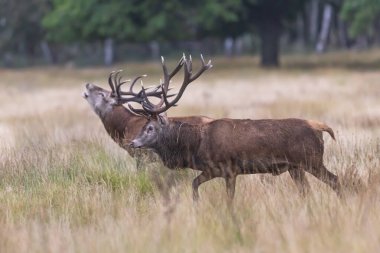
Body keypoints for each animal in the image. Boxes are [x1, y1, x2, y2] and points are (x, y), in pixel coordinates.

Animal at [130, 54, 342, 204]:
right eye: (143, 126)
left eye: (150, 128)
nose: (132, 142)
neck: (196, 147)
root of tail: (319, 127)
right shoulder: (214, 170)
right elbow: (194, 184)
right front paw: (196, 205)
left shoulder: (229, 169)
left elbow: (228, 198)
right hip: (296, 167)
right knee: (307, 190)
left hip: (311, 160)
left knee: (335, 180)